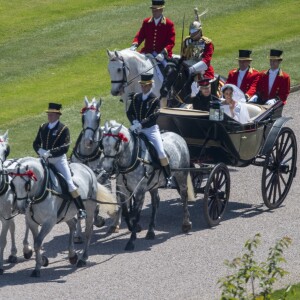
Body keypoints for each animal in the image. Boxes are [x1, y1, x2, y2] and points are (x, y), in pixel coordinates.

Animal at [101, 120, 195, 250]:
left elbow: (135, 214)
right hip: (154, 185)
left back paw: (186, 224)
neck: (133, 159)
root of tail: (178, 136)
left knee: (184, 197)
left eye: (116, 145)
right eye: (102, 144)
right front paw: (134, 228)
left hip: (181, 175)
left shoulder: (140, 191)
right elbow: (126, 213)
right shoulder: (123, 190)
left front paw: (131, 240)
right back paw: (151, 231)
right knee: (156, 202)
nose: (107, 168)